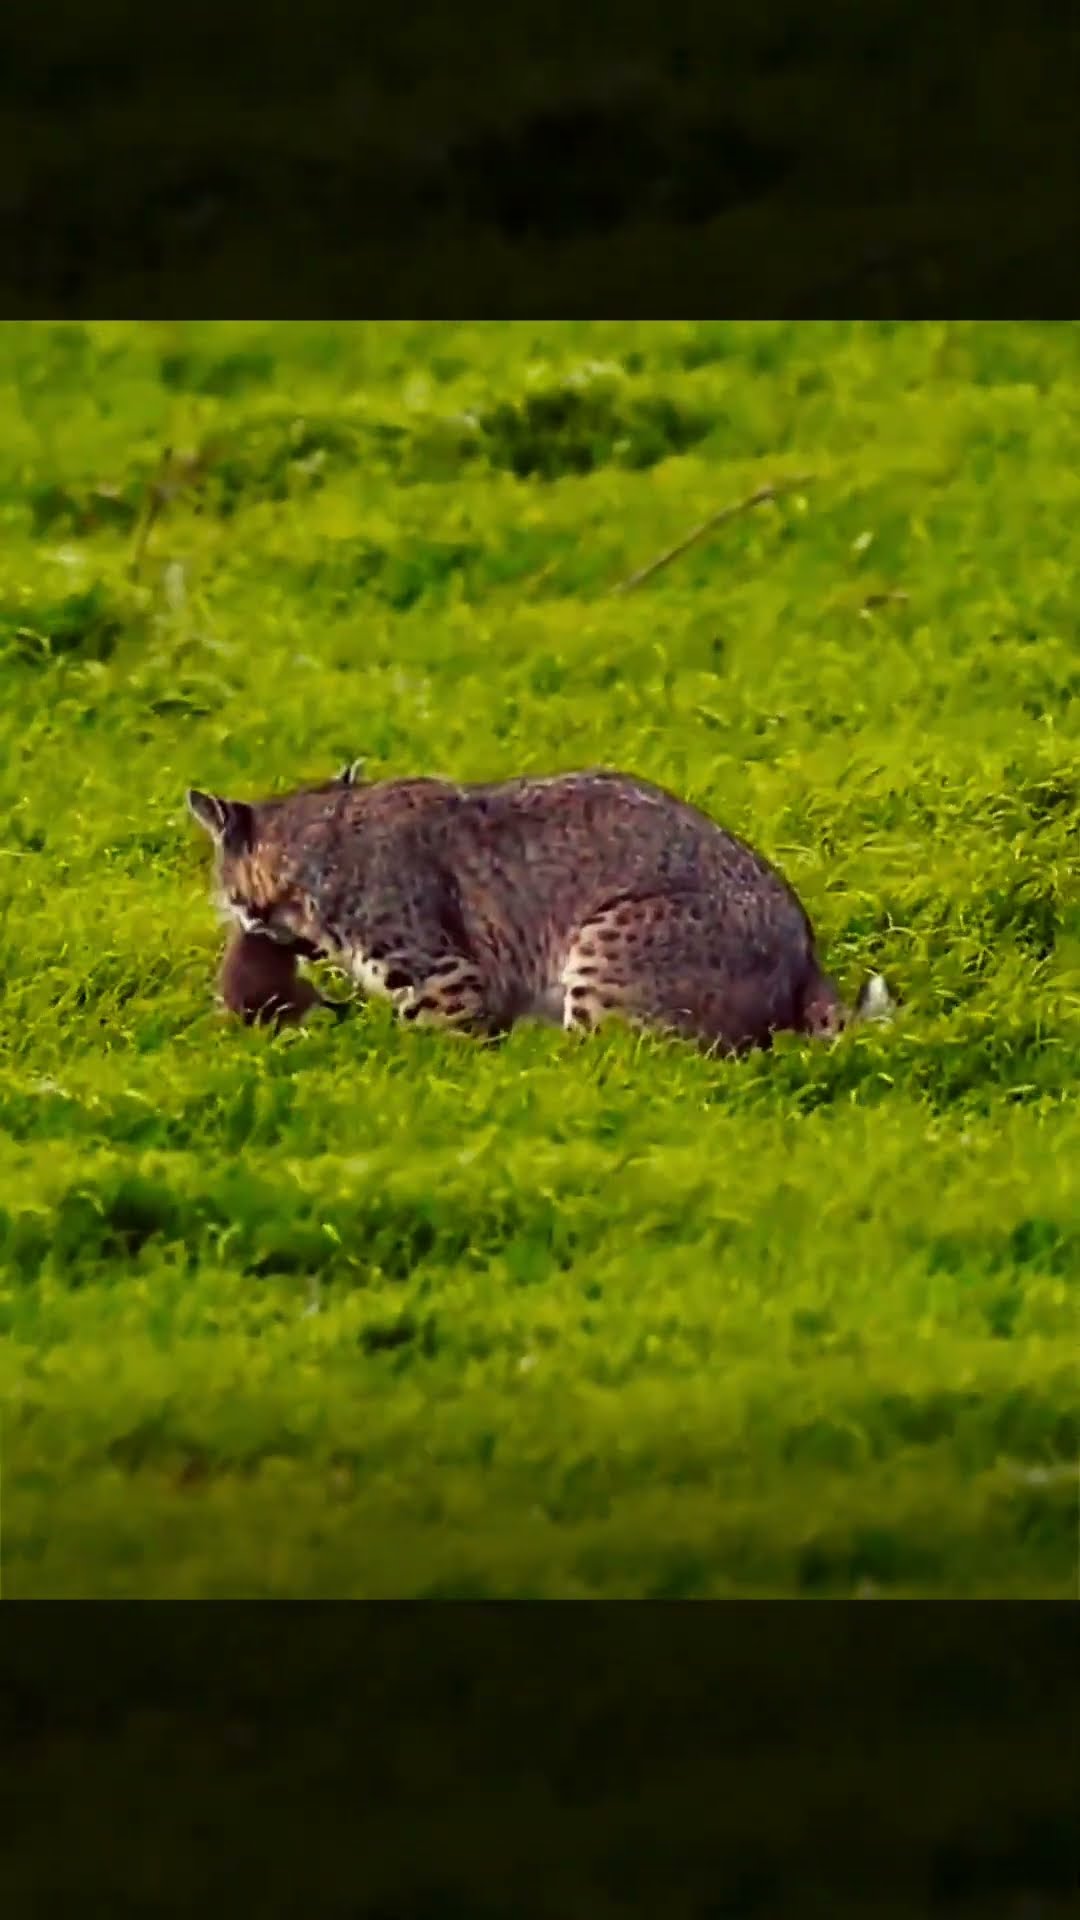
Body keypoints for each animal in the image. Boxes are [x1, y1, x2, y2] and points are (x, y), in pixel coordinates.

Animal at [187, 768, 891, 1059]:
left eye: (227, 892)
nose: (237, 917)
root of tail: (807, 952)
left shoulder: (444, 976)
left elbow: (436, 1046)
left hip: (607, 944)